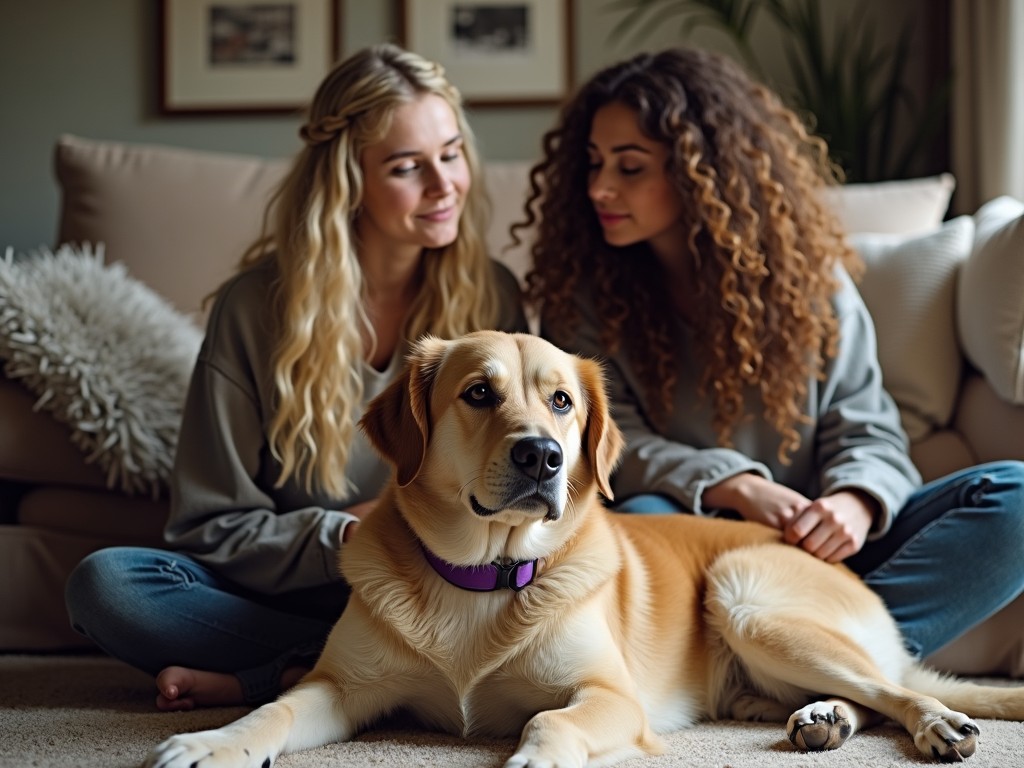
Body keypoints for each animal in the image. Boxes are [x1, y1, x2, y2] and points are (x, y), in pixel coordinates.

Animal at [148, 331, 1019, 768]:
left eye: (563, 402)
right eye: (478, 393)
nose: (542, 455)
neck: (484, 573)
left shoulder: (607, 695)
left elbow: (546, 723)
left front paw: (534, 761)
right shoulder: (340, 687)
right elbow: (271, 710)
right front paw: (210, 743)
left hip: (745, 597)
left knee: (895, 691)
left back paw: (934, 724)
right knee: (862, 698)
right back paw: (823, 719)